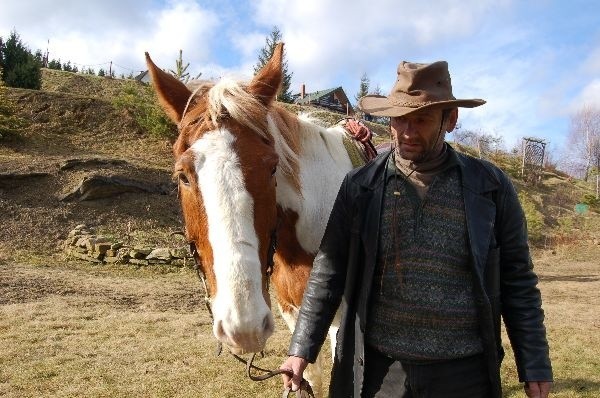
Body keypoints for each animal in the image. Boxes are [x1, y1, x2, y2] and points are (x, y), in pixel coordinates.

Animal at [146, 43, 370, 394]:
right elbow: (308, 377)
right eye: (182, 175)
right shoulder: (294, 311)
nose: (244, 325)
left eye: (273, 168)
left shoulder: (341, 325)